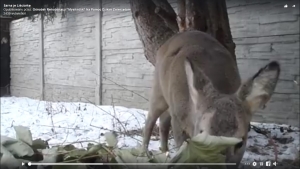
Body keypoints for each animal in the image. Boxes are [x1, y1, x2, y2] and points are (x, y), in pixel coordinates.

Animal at [142, 30, 280, 166]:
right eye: (201, 134)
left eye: (240, 143)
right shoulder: (177, 120)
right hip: (158, 90)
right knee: (150, 119)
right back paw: (146, 154)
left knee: (163, 120)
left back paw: (164, 153)